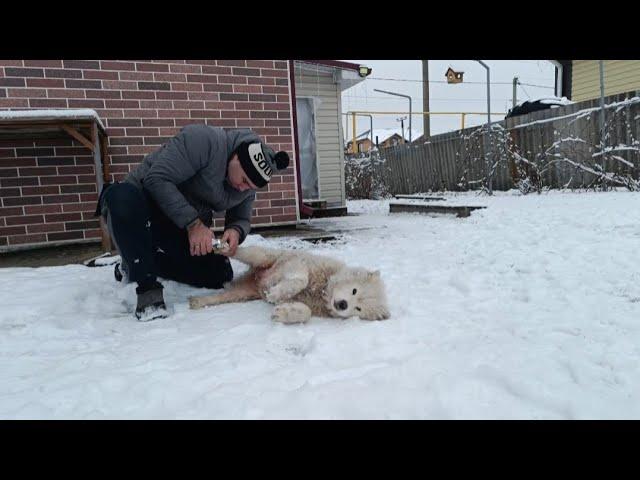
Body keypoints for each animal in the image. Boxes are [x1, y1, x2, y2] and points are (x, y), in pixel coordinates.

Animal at [189, 246, 390, 324]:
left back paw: (197, 301)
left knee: (221, 296)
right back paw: (222, 246)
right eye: (354, 290)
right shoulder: (298, 263)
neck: (322, 289)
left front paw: (282, 313)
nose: (342, 305)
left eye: (358, 309)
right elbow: (300, 279)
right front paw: (277, 292)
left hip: (244, 294)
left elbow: (305, 312)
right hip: (265, 256)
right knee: (243, 251)